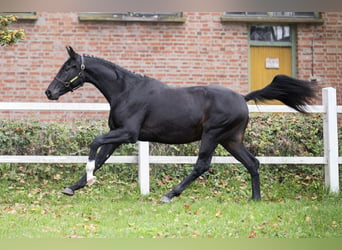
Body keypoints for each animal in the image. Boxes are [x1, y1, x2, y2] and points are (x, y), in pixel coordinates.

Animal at [44, 47, 316, 202]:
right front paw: (73, 187)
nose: (49, 92)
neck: (126, 91)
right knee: (253, 163)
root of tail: (242, 97)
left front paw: (88, 178)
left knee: (202, 165)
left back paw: (169, 195)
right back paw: (255, 199)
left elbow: (95, 144)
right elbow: (101, 158)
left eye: (69, 67)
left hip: (213, 135)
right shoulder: (117, 134)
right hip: (231, 140)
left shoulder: (128, 133)